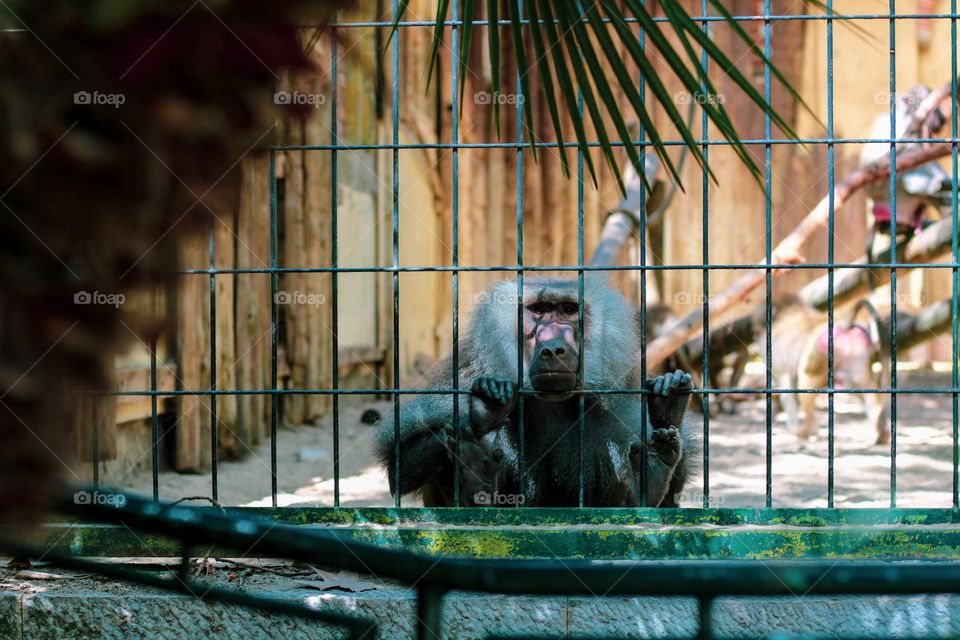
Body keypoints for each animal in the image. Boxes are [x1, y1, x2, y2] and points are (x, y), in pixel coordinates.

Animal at [375, 276, 700, 508]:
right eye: (539, 310)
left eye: (568, 311)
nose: (553, 349)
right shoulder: (464, 377)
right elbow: (399, 467)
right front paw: (484, 409)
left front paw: (666, 406)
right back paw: (476, 482)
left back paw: (654, 469)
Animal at [756, 296, 891, 444]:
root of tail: (844, 325)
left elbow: (787, 393)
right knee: (866, 391)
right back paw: (881, 430)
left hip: (820, 351)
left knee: (806, 378)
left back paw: (806, 430)